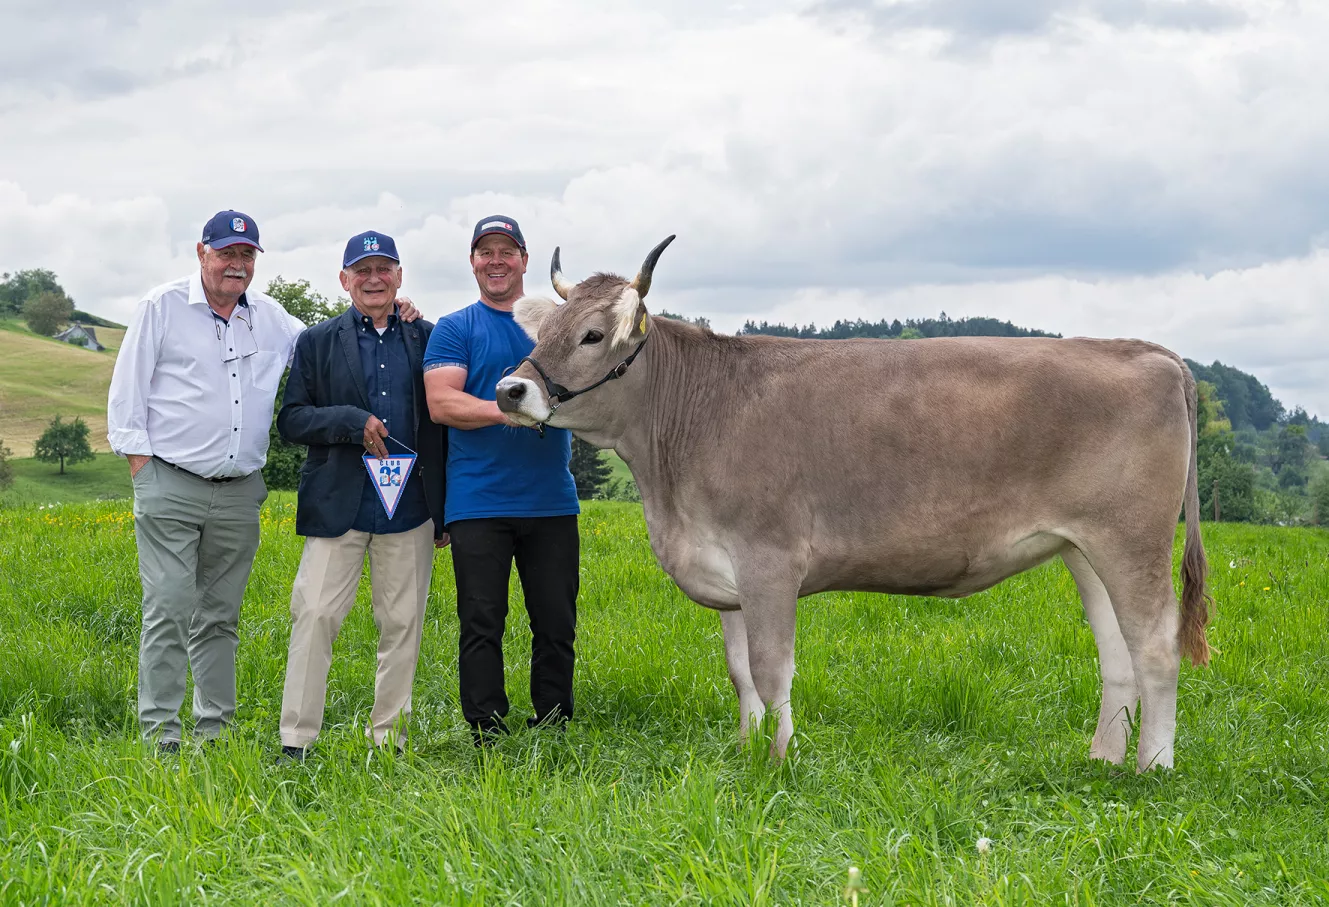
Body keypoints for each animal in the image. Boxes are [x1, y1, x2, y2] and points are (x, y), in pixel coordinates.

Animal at [495, 237, 1212, 772]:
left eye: (592, 335)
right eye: (544, 329)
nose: (509, 390)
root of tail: (1146, 350)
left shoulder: (769, 560)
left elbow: (771, 668)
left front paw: (779, 757)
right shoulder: (723, 570)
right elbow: (738, 671)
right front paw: (744, 748)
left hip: (1132, 540)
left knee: (1154, 645)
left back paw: (1153, 767)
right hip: (1082, 548)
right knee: (1116, 651)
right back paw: (1102, 757)